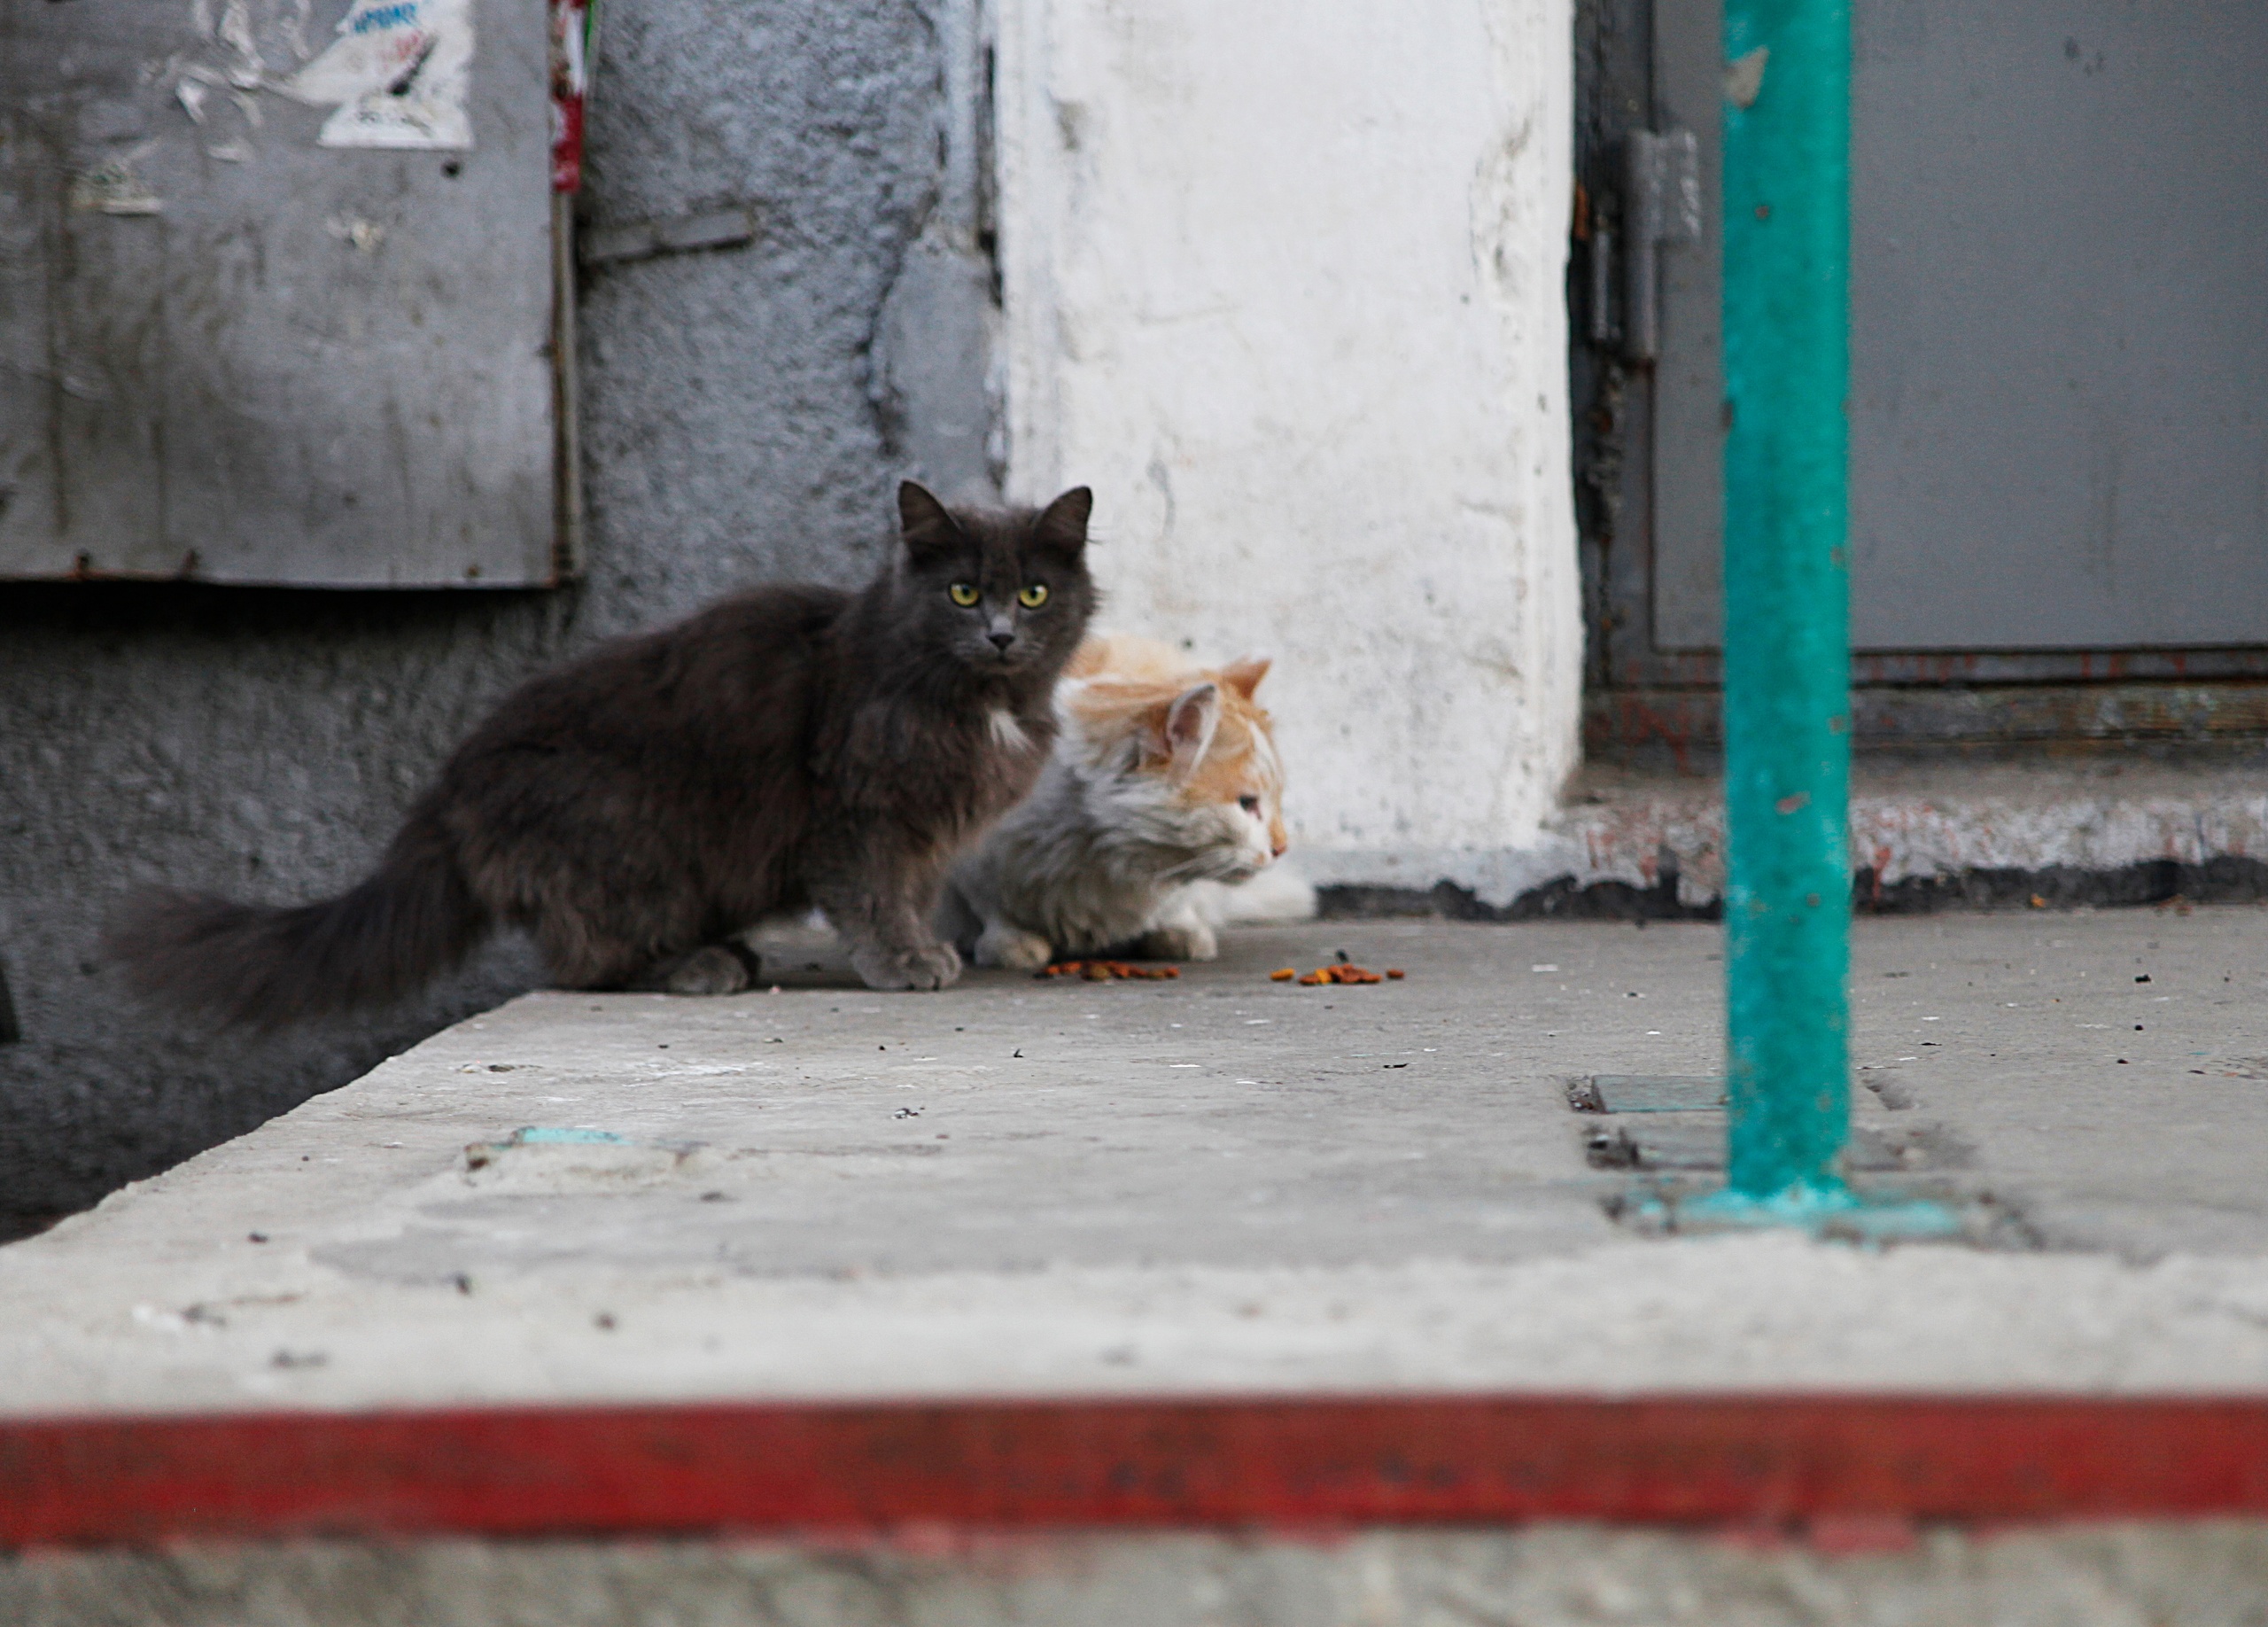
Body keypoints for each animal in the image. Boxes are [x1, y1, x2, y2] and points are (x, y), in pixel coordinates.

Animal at [934, 634, 1297, 966]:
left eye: (1275, 799)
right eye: (1247, 804)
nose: (1282, 848)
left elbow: (1178, 902)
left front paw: (1180, 933)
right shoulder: (975, 857)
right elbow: (994, 905)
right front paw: (1011, 943)